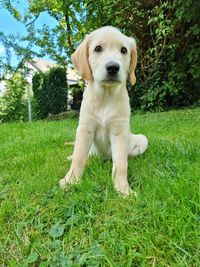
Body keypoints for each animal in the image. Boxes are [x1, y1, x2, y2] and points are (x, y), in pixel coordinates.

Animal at [58, 26, 148, 196]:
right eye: (98, 49)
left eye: (124, 50)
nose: (113, 67)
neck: (105, 97)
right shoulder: (85, 129)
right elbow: (79, 157)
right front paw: (70, 181)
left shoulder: (120, 133)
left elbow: (121, 165)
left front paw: (123, 189)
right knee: (86, 156)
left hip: (142, 140)